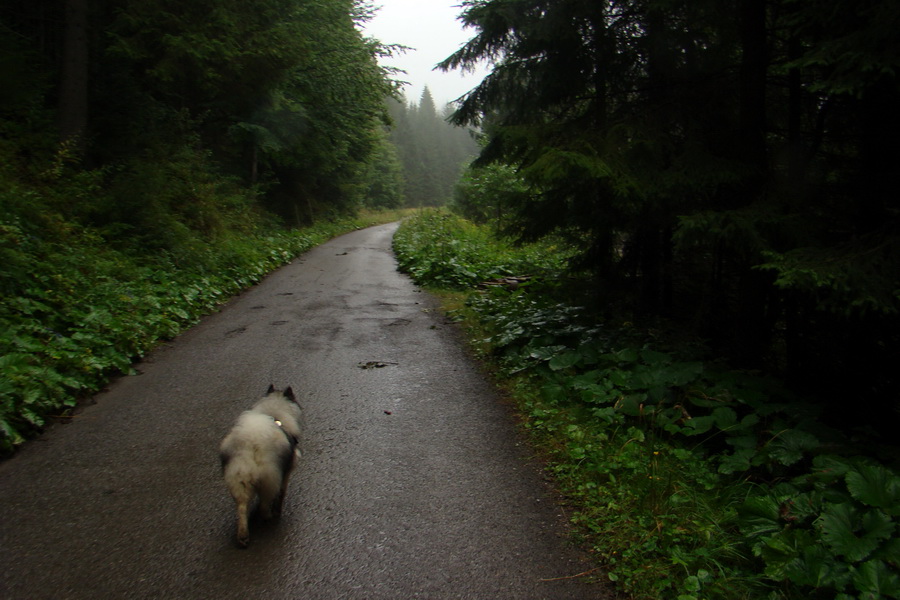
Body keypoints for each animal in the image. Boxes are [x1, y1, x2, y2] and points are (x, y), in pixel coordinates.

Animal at [219, 384, 300, 548]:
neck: (275, 414)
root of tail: (251, 443)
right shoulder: (286, 473)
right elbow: (281, 494)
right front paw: (277, 511)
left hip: (239, 480)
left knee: (242, 507)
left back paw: (243, 536)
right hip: (270, 478)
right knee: (264, 504)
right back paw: (267, 518)